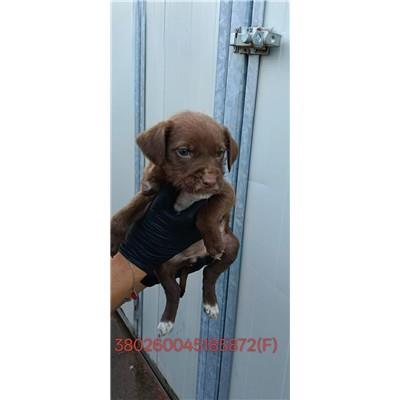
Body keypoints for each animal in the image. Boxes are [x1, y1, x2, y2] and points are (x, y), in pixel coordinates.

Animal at [111, 111, 239, 336]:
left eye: (221, 152)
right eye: (184, 152)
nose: (209, 181)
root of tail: (189, 261)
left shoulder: (225, 191)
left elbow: (206, 212)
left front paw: (214, 241)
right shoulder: (150, 193)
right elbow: (124, 213)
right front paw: (112, 239)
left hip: (232, 246)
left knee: (210, 273)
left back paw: (211, 304)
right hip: (162, 266)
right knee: (172, 292)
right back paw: (166, 321)